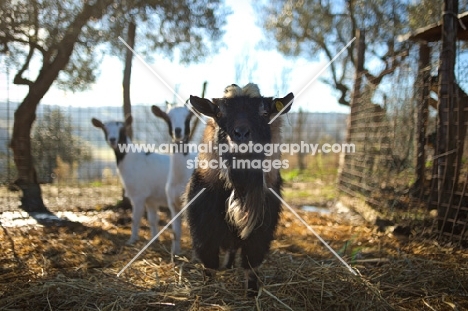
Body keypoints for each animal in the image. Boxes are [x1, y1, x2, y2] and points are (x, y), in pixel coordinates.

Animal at [92, 115, 182, 254]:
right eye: (104, 128)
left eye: (123, 129)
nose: (112, 139)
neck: (131, 159)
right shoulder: (151, 199)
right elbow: (152, 220)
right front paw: (153, 240)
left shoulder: (138, 195)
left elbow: (135, 219)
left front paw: (132, 240)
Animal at [152, 103, 197, 255]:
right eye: (167, 117)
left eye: (188, 116)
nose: (178, 131)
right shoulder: (172, 205)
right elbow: (176, 233)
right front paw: (175, 253)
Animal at [183, 83, 292, 294]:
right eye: (219, 112)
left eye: (265, 112)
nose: (241, 134)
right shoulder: (202, 226)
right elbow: (209, 262)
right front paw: (208, 288)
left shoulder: (262, 230)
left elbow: (252, 264)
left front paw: (252, 292)